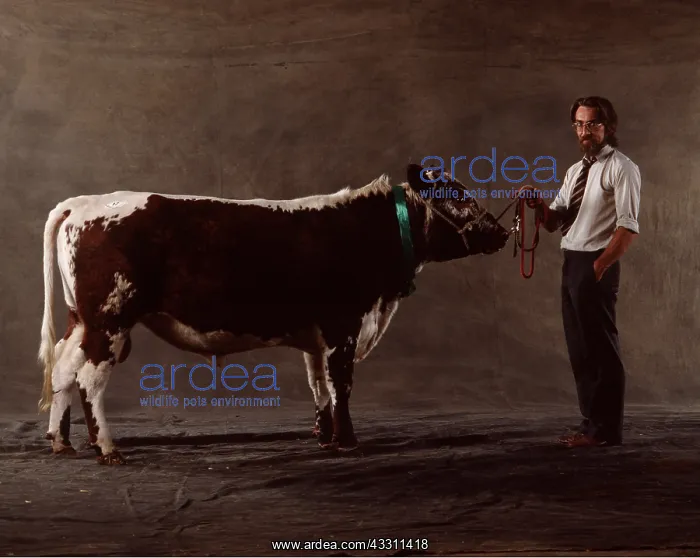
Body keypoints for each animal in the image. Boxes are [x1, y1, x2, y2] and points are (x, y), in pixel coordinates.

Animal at [37, 163, 510, 465]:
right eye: (457, 197)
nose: (502, 232)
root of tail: (84, 202)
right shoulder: (343, 323)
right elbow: (341, 383)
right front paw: (348, 442)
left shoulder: (317, 332)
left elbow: (318, 383)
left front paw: (325, 437)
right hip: (110, 317)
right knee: (89, 378)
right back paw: (107, 449)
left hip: (81, 318)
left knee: (64, 368)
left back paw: (62, 442)